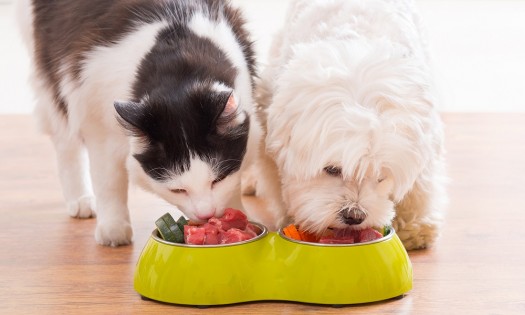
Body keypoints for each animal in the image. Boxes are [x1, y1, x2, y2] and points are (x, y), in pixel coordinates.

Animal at [14, 0, 256, 247]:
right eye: (178, 190)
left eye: (218, 179)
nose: (206, 214)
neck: (178, 65)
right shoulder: (98, 121)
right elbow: (109, 181)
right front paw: (113, 230)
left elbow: (234, 183)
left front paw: (236, 214)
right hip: (56, 80)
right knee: (66, 142)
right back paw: (81, 200)